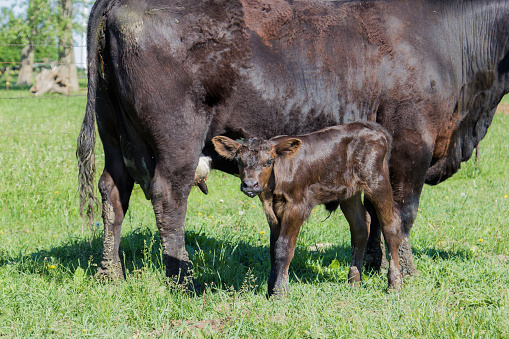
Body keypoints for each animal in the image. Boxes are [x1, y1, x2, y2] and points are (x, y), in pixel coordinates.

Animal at [210, 123, 400, 298]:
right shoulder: (272, 210)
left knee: (391, 226)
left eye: (269, 162)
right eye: (239, 161)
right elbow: (273, 248)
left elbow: (283, 247)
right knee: (359, 227)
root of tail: (370, 127)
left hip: (377, 181)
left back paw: (394, 284)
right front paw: (271, 290)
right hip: (349, 192)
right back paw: (354, 282)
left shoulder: (296, 207)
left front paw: (280, 293)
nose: (250, 184)